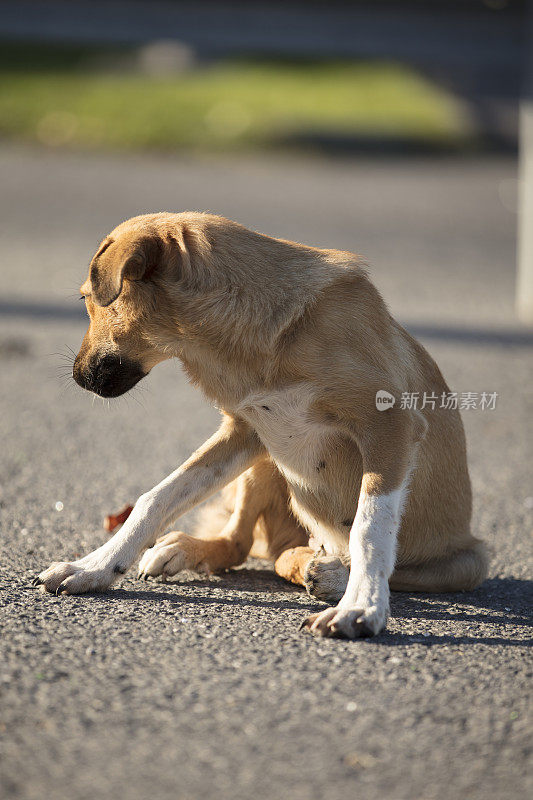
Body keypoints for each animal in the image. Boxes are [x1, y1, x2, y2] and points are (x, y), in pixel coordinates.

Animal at [34, 211, 486, 636]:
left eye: (86, 299)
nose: (77, 377)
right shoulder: (245, 431)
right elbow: (156, 497)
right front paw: (95, 566)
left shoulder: (390, 427)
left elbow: (370, 529)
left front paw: (362, 607)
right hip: (266, 461)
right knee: (240, 543)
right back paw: (197, 549)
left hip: (469, 561)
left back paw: (334, 574)